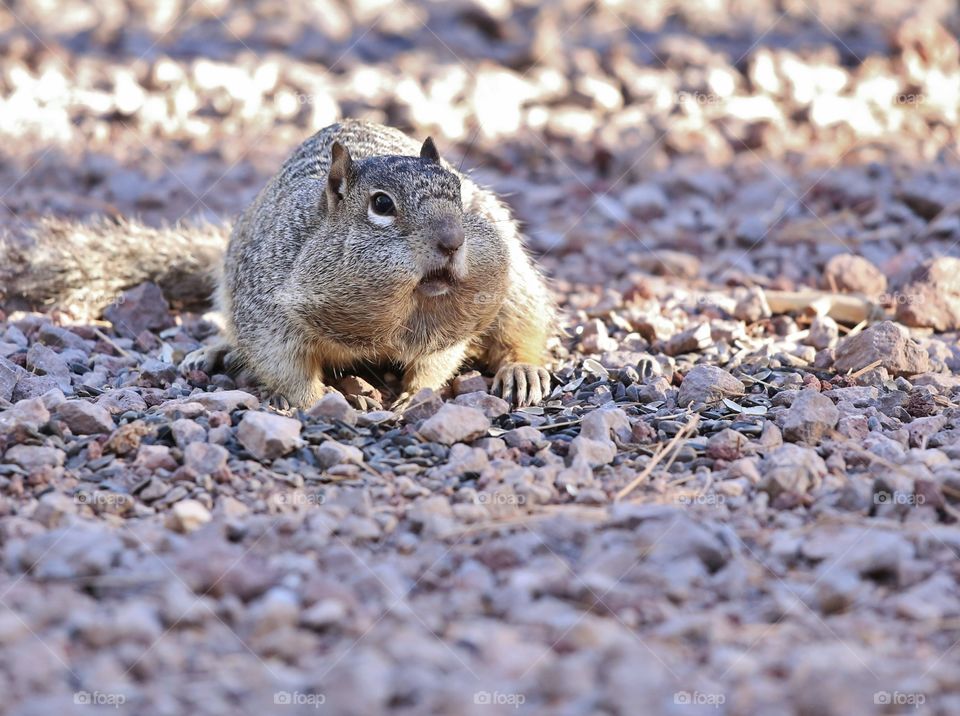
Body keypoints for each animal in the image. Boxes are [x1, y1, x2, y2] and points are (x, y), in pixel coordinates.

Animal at [2, 121, 557, 410]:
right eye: (381, 205)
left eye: (458, 192)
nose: (452, 240)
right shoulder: (268, 311)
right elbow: (285, 367)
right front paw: (323, 400)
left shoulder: (451, 323)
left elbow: (439, 359)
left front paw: (415, 395)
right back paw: (216, 350)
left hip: (516, 286)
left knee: (522, 329)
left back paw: (522, 370)